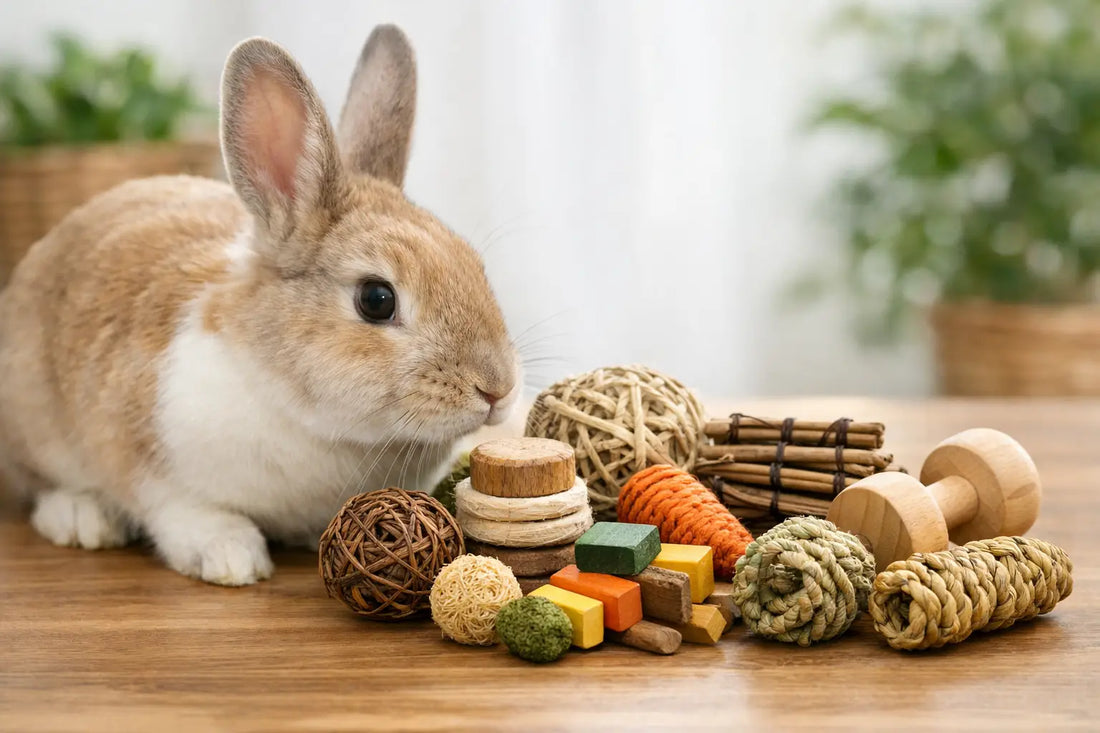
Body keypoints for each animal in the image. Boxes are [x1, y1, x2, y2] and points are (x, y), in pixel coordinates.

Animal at [0, 26, 520, 586]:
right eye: (376, 300)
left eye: (474, 263)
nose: (498, 390)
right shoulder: (148, 463)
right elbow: (180, 510)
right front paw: (232, 559)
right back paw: (81, 518)